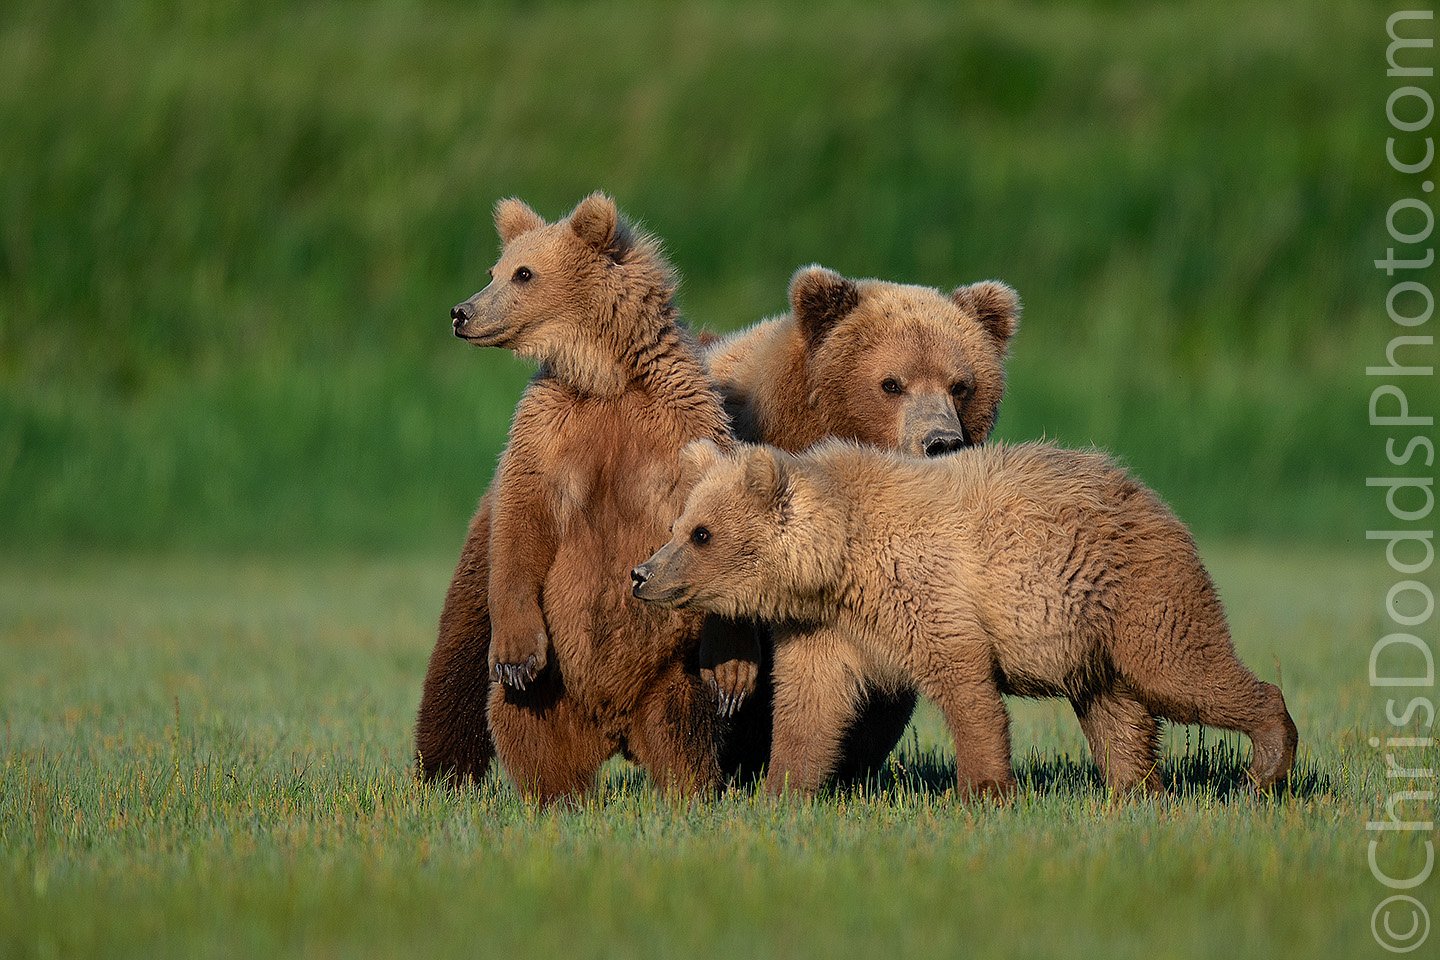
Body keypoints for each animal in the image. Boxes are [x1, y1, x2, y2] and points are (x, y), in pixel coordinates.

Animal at [420, 192, 759, 802]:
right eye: (494, 270)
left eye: (523, 273)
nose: (462, 312)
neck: (607, 377)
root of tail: (614, 729)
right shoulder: (548, 427)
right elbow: (523, 518)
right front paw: (516, 656)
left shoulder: (681, 422)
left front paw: (735, 671)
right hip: (555, 687)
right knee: (522, 723)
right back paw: (553, 795)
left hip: (671, 673)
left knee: (689, 730)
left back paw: (691, 790)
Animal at [631, 439, 1300, 800]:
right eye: (678, 525)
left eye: (700, 533)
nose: (642, 573)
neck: (840, 560)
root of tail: (1154, 496)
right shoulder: (827, 629)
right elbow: (810, 704)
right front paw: (781, 790)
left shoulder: (923, 589)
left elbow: (964, 683)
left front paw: (983, 789)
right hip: (1090, 633)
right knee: (1117, 711)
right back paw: (1135, 788)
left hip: (1137, 591)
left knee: (1182, 669)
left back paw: (1266, 762)